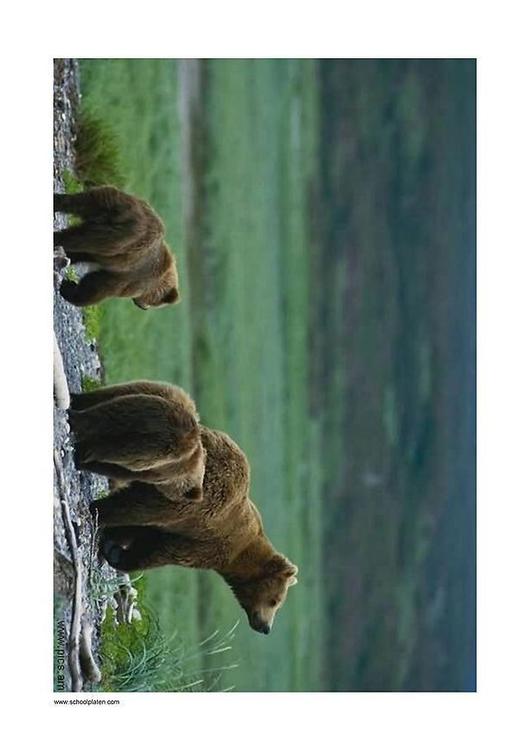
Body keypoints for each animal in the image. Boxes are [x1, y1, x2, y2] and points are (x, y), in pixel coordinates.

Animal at [68, 380, 298, 634]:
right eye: (275, 601)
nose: (265, 627)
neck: (242, 552)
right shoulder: (207, 541)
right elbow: (161, 550)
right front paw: (117, 554)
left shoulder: (175, 525)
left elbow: (140, 531)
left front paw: (111, 544)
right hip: (181, 496)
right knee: (133, 504)